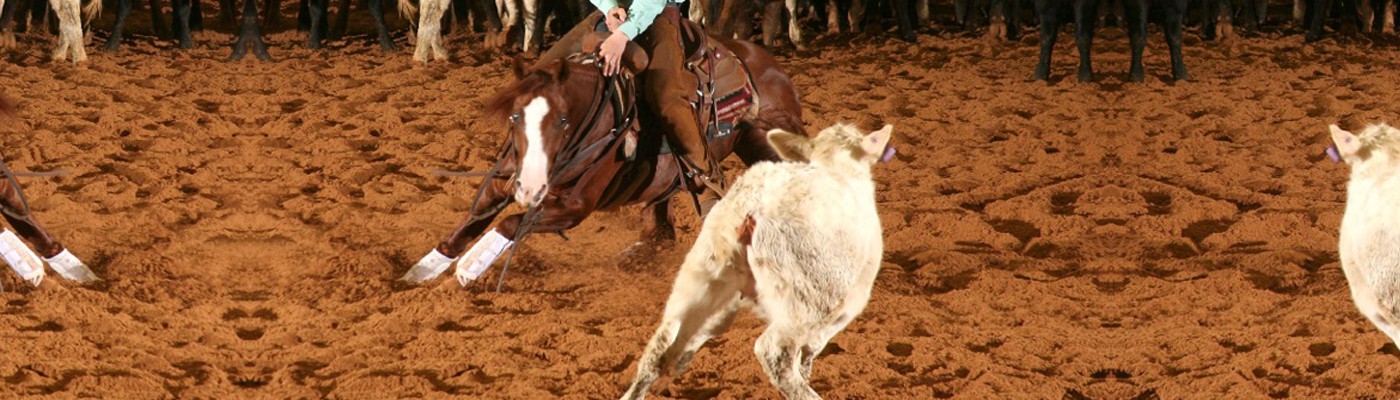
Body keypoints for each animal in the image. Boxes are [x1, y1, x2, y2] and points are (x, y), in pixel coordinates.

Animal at [399, 33, 806, 288]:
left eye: (562, 121)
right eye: (515, 117)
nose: (529, 189)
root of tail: (763, 62)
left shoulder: (574, 208)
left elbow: (510, 223)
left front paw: (468, 270)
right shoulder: (506, 179)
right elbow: (469, 223)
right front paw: (415, 275)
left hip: (766, 143)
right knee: (660, 224)